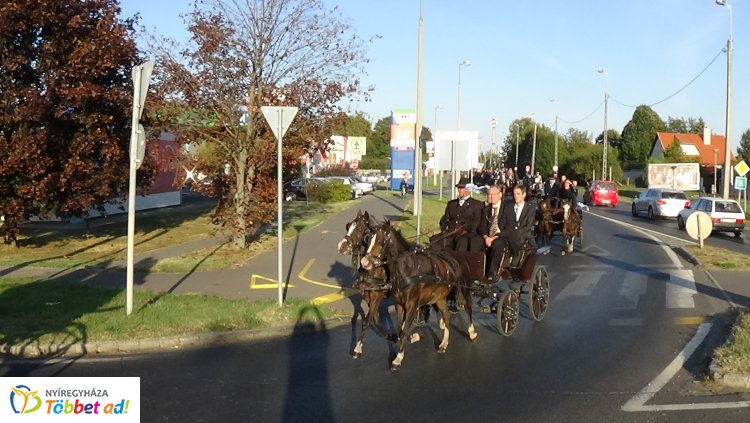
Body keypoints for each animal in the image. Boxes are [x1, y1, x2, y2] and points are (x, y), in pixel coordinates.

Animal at [362, 222, 478, 372]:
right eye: (368, 239)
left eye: (381, 241)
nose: (364, 262)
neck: (408, 269)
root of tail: (458, 254)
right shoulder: (400, 305)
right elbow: (400, 329)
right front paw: (413, 338)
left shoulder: (412, 304)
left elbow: (404, 330)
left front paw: (398, 359)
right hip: (440, 298)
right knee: (446, 316)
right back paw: (444, 343)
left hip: (463, 288)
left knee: (468, 307)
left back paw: (472, 332)